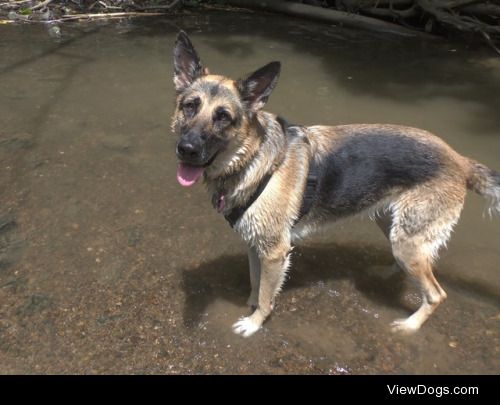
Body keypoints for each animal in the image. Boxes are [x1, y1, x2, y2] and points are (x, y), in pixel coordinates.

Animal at [172, 31, 500, 336]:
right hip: (393, 227)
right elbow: (256, 284)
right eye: (190, 106)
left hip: (408, 239)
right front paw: (251, 307)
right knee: (408, 264)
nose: (186, 149)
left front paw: (254, 323)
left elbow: (266, 294)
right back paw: (384, 272)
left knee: (436, 294)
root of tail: (460, 159)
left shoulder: (275, 252)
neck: (253, 158)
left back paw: (410, 325)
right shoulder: (256, 246)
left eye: (223, 117)